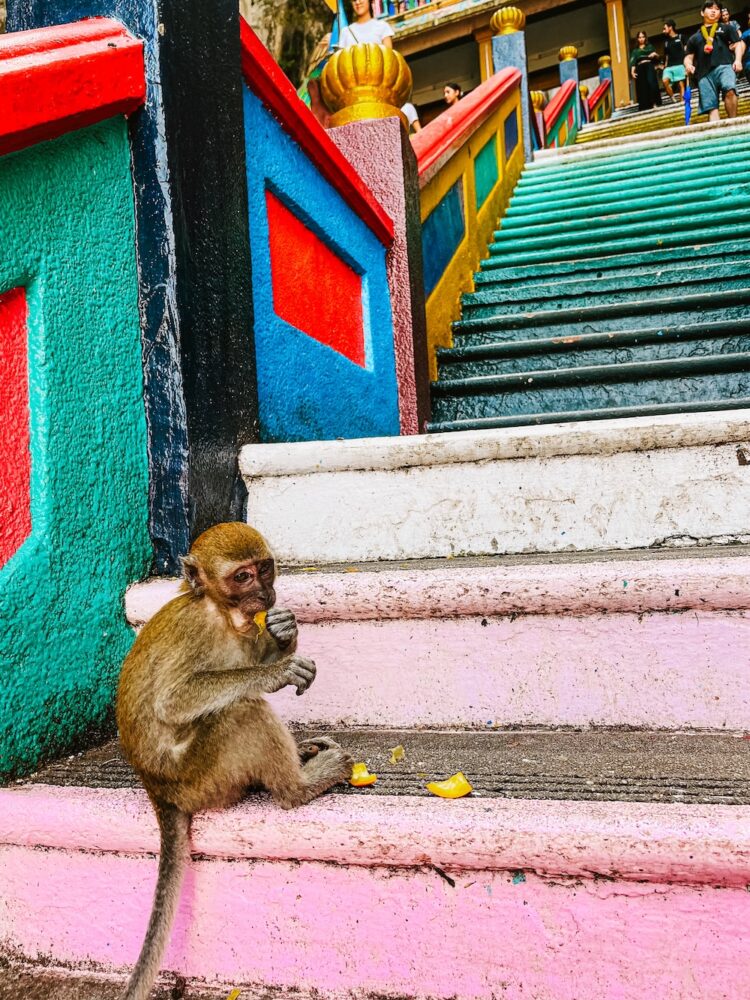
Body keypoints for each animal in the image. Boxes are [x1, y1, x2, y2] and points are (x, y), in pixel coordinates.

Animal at [116, 524, 354, 1000]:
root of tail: (157, 789)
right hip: (201, 776)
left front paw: (283, 632)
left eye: (264, 569)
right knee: (242, 708)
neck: (222, 613)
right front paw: (275, 670)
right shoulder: (196, 629)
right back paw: (299, 785)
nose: (264, 592)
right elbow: (172, 700)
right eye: (242, 576)